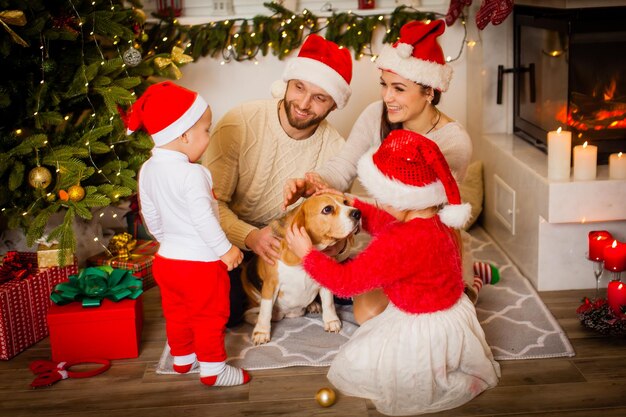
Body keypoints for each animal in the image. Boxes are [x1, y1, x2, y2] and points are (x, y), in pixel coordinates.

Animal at [243, 193, 364, 342]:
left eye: (345, 202)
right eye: (327, 209)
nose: (358, 213)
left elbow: (328, 303)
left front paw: (331, 321)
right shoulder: (270, 284)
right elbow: (265, 311)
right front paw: (261, 332)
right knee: (250, 314)